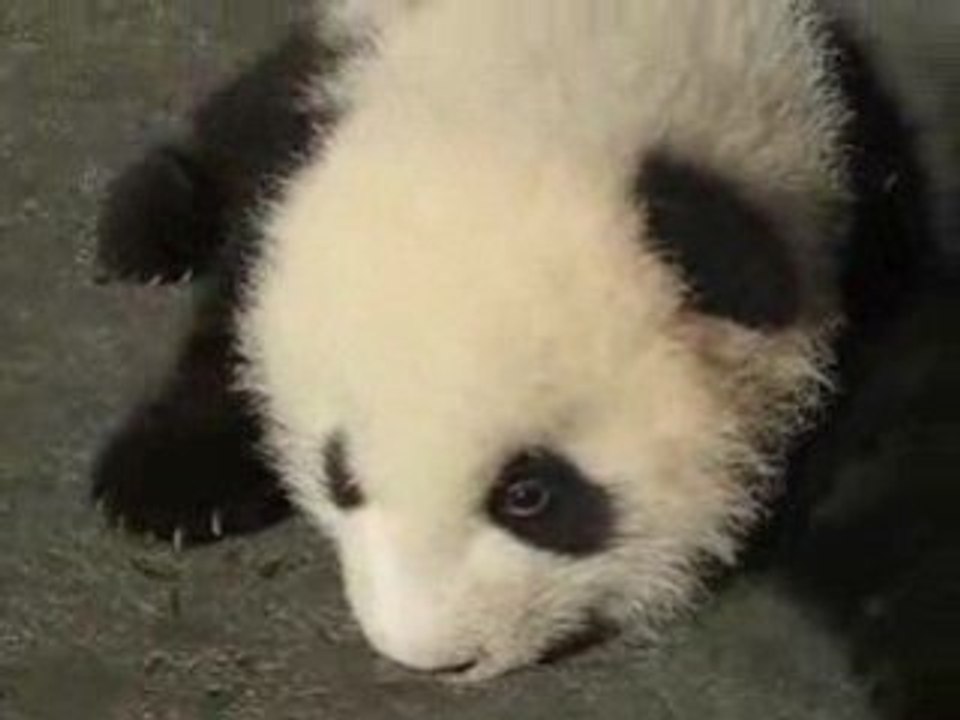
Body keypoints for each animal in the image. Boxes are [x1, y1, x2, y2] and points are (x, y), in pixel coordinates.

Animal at [91, 0, 958, 717]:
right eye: (340, 475)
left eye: (529, 494)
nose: (433, 660)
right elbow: (240, 291)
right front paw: (169, 484)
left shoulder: (857, 222)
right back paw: (149, 223)